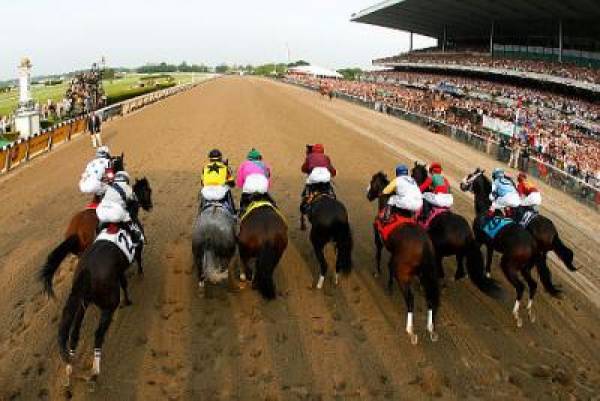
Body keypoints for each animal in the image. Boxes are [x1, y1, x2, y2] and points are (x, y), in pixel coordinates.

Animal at [51, 177, 152, 390]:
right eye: (148, 191)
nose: (150, 205)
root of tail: (86, 272)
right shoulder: (136, 250)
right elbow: (139, 261)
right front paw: (139, 276)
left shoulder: (119, 271)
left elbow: (124, 283)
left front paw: (128, 300)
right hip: (108, 304)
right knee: (98, 334)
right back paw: (94, 373)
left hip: (81, 304)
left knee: (73, 336)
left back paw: (69, 372)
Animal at [366, 172, 440, 344]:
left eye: (372, 182)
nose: (368, 195)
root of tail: (425, 245)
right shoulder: (395, 254)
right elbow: (389, 266)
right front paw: (389, 286)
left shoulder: (378, 238)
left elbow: (379, 255)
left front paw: (377, 272)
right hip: (426, 273)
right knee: (429, 297)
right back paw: (430, 328)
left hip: (404, 273)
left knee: (410, 299)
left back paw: (410, 331)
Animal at [410, 162, 500, 296]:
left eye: (413, 172)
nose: (462, 184)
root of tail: (466, 235)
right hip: (459, 253)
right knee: (460, 272)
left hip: (439, 251)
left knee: (440, 271)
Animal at [462, 169, 552, 324]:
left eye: (470, 176)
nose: (461, 184)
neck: (486, 208)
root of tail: (532, 245)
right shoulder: (490, 243)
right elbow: (488, 263)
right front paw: (486, 277)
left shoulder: (479, 239)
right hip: (525, 268)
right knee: (533, 285)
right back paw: (529, 311)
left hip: (508, 264)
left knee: (521, 287)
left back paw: (516, 314)